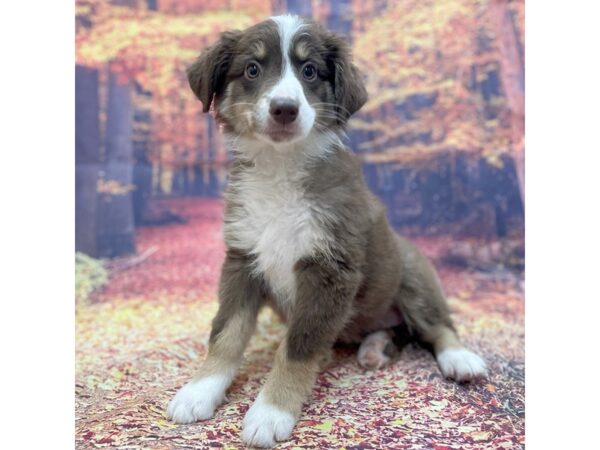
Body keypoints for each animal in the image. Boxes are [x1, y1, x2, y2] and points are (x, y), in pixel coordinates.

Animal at [168, 13, 488, 446]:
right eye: (252, 69)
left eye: (309, 71)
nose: (285, 109)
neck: (280, 169)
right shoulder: (242, 259)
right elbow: (226, 333)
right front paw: (200, 390)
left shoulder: (329, 269)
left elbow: (298, 347)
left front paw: (270, 412)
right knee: (397, 331)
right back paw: (375, 347)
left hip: (412, 271)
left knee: (437, 326)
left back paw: (459, 358)